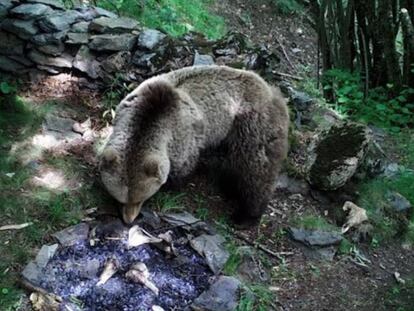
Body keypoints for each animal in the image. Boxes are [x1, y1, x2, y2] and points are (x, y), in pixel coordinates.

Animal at [99, 65, 290, 227]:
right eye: (121, 200)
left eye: (141, 199)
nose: (128, 220)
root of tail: (270, 89)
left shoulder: (183, 138)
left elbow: (182, 167)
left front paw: (172, 184)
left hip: (252, 125)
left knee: (255, 169)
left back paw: (245, 216)